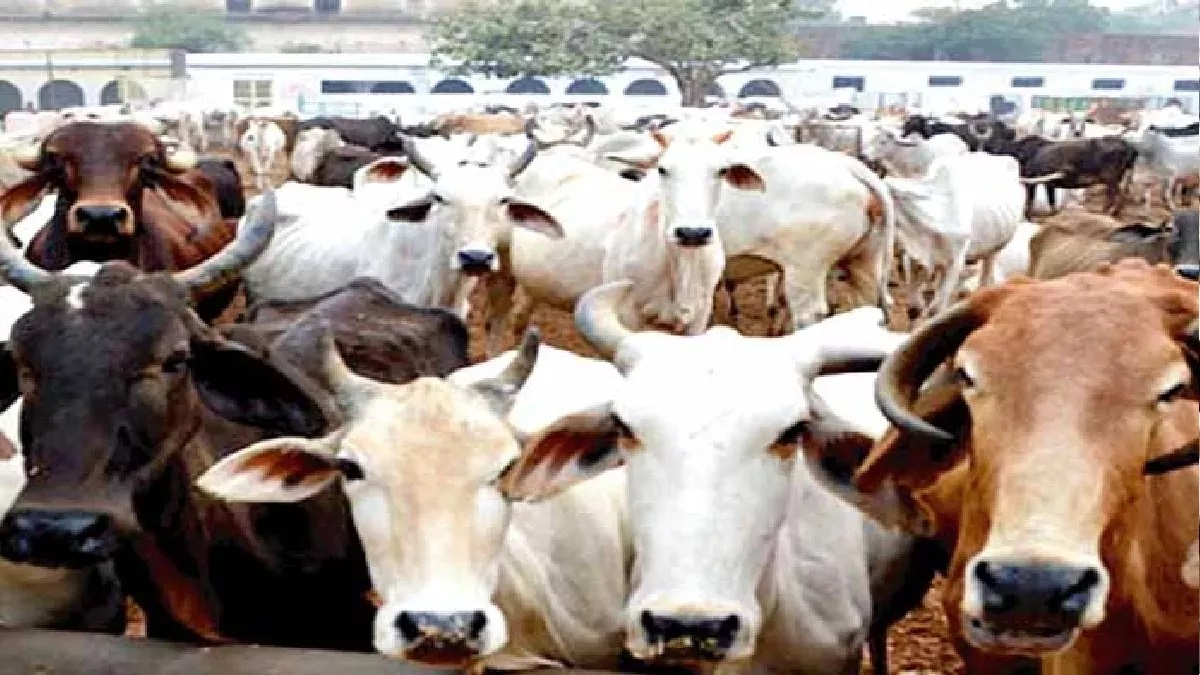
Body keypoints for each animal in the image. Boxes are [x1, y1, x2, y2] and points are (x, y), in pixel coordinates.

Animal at [604, 129, 895, 333]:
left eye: (721, 171)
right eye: (663, 169)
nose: (692, 233)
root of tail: (845, 165)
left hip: (805, 272)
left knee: (809, 316)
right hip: (863, 263)